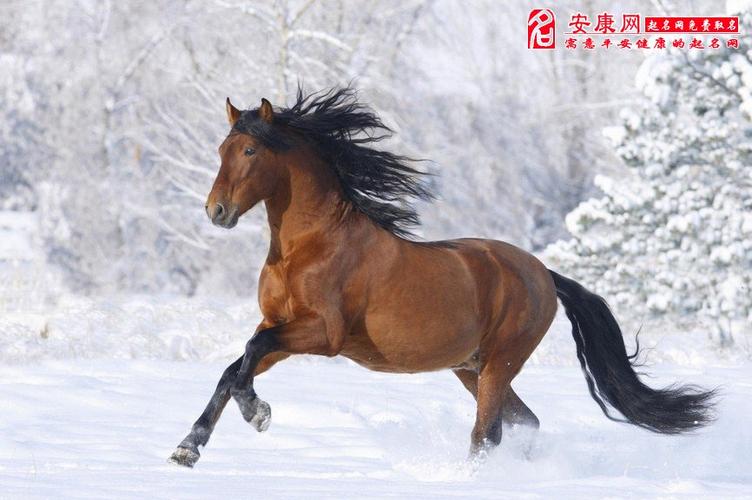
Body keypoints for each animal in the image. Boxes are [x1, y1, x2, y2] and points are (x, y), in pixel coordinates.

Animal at [169, 87, 716, 467]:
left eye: (250, 152)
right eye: (221, 149)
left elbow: (248, 356)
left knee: (487, 433)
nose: (216, 211)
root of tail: (542, 272)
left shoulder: (322, 334)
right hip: (470, 368)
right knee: (524, 421)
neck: (310, 246)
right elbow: (234, 368)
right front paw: (188, 448)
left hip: (499, 363)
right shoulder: (279, 327)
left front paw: (257, 414)